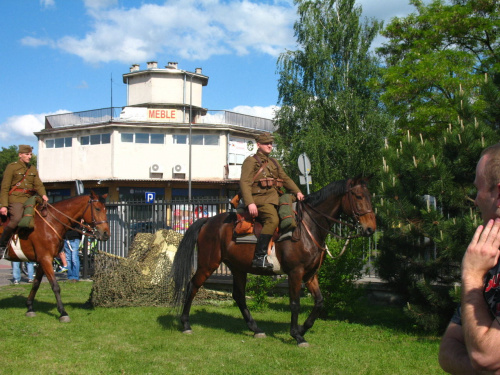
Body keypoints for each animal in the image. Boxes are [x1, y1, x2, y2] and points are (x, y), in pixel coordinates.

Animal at [3, 192, 109, 322]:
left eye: (105, 209)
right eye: (98, 208)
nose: (106, 233)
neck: (50, 223)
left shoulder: (43, 260)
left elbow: (36, 283)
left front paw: (30, 308)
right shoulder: (45, 259)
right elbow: (55, 286)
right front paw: (63, 312)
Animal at [171, 178, 376, 348]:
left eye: (369, 196)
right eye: (358, 196)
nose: (371, 229)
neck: (308, 227)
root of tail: (208, 221)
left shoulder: (310, 275)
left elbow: (319, 302)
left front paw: (303, 328)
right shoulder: (295, 273)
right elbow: (294, 303)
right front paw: (297, 335)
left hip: (238, 269)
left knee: (239, 296)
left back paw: (256, 329)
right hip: (208, 264)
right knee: (192, 286)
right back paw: (186, 324)